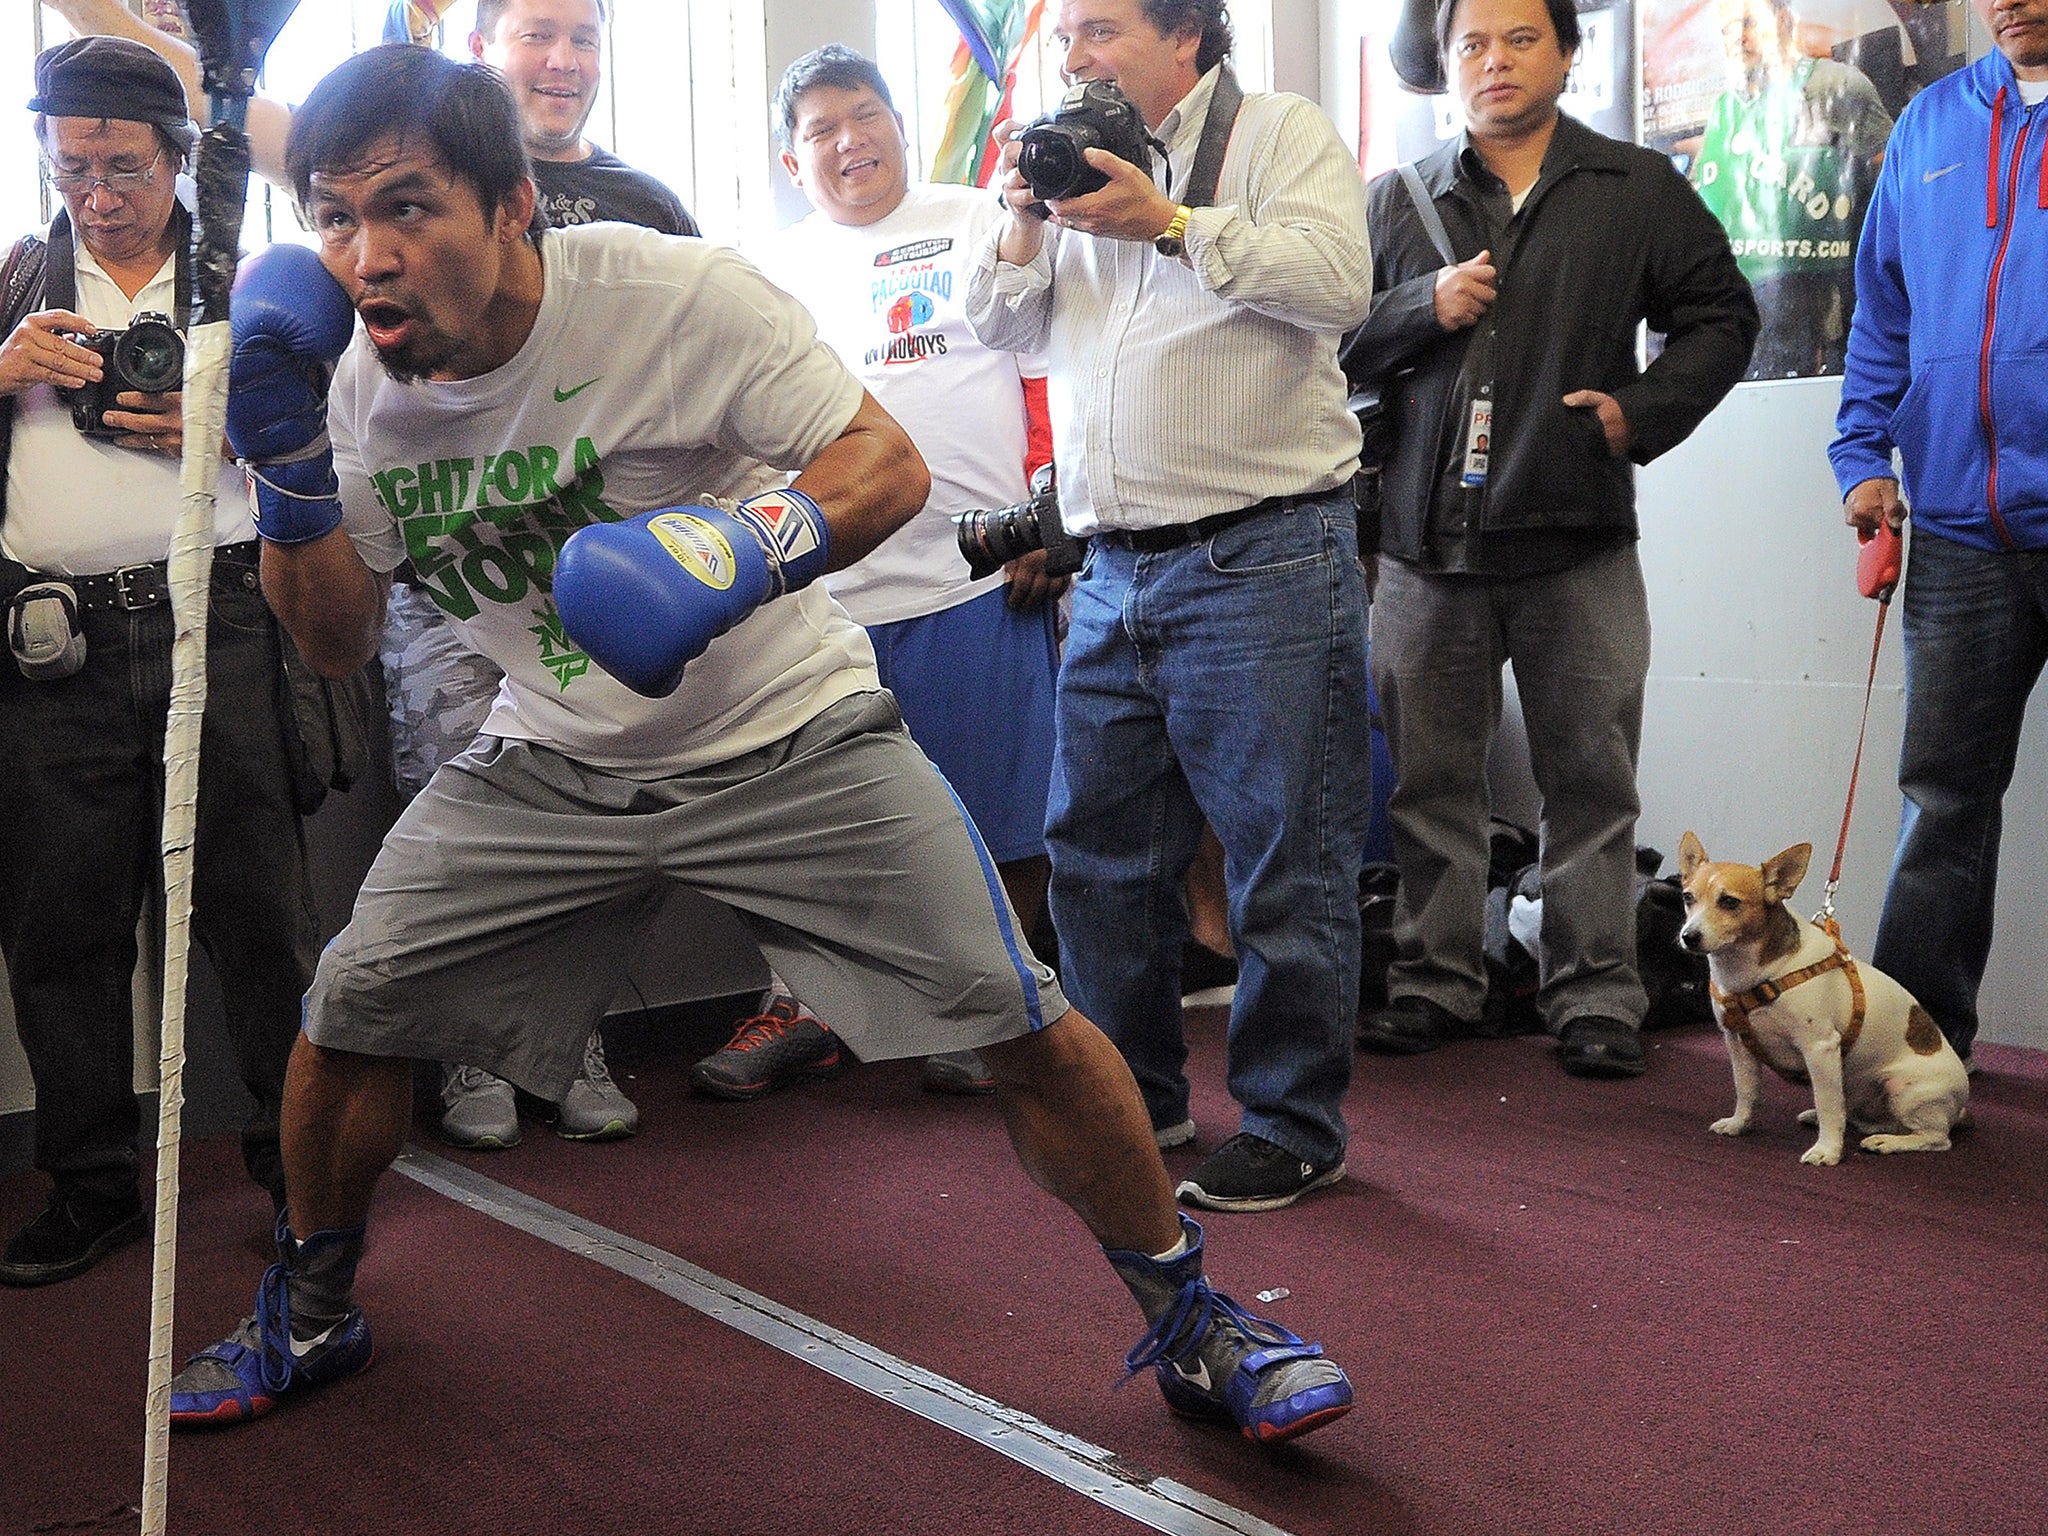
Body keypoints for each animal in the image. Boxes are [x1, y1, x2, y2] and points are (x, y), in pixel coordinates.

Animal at [1679, 835, 1966, 1171]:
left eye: (1729, 902)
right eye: (1687, 897)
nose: (1688, 936)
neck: (1756, 974)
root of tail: (1961, 1106)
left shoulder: (1820, 1048)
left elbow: (1829, 1104)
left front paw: (1827, 1150)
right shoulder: (1738, 1042)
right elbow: (1746, 1090)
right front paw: (1739, 1124)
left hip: (1905, 1090)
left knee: (1934, 1138)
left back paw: (1889, 1142)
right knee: (1861, 1116)